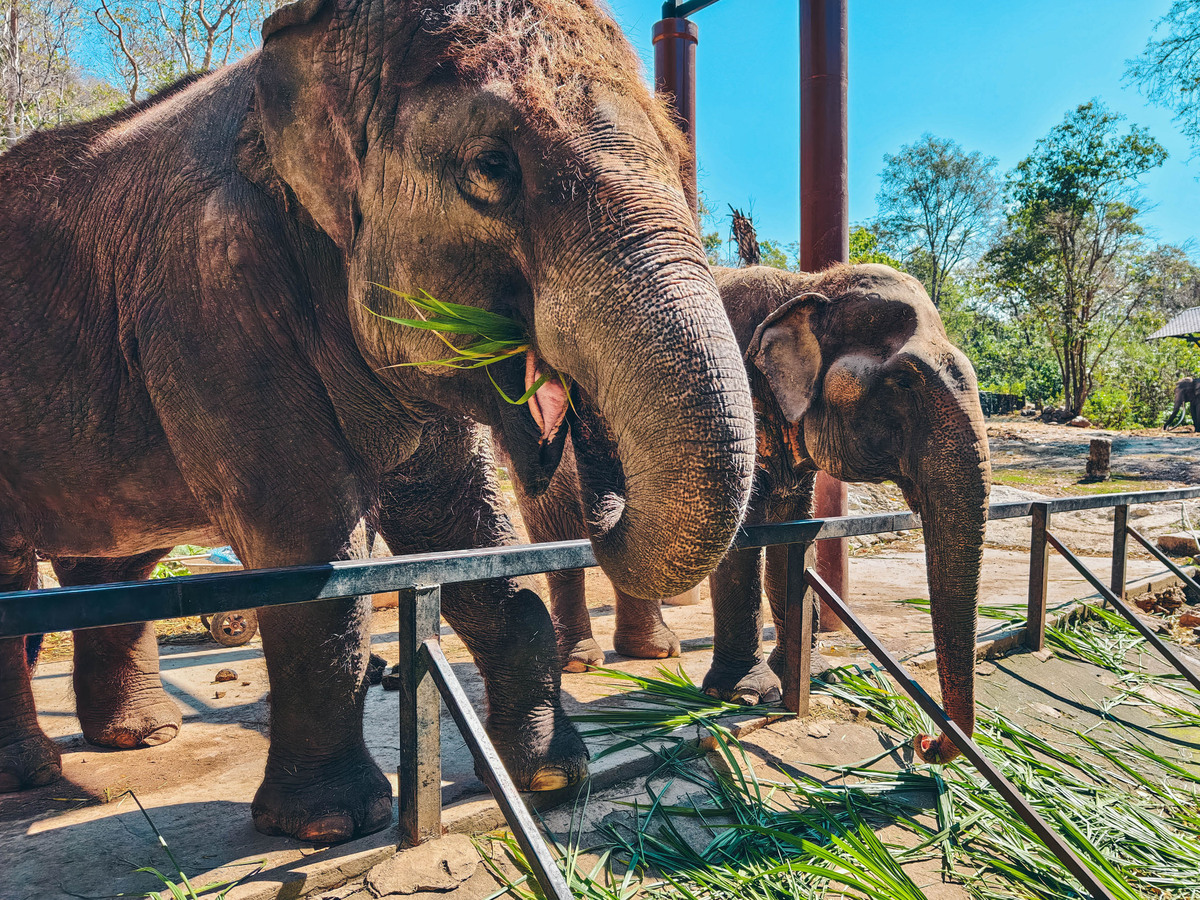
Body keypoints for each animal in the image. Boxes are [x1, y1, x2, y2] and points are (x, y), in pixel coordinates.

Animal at [0, 0, 758, 843]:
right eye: (492, 167)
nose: (577, 449)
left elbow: (462, 525)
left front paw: (550, 777)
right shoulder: (209, 284)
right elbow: (308, 538)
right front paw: (330, 826)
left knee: (111, 561)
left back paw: (140, 737)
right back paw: (30, 776)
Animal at [485, 264, 990, 762]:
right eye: (904, 382)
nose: (923, 742)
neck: (806, 285)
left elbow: (793, 536)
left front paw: (814, 674)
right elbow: (740, 540)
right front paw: (746, 695)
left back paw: (655, 653)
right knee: (556, 530)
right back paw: (580, 661)